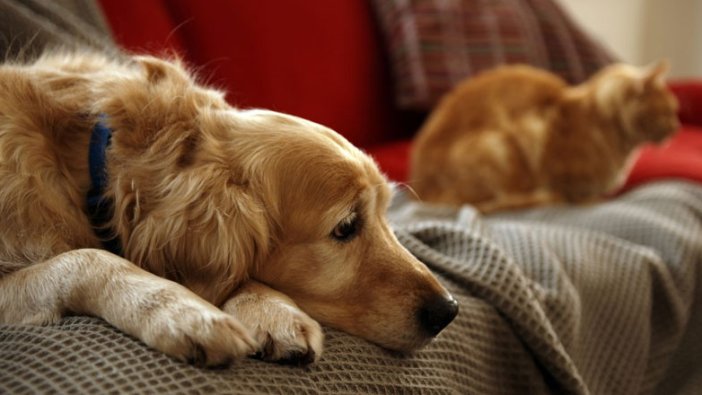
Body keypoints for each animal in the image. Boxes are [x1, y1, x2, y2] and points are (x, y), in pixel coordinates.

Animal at [0, 52, 460, 368]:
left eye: (386, 211)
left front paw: (271, 310)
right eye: (346, 227)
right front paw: (184, 313)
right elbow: (87, 258)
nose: (449, 311)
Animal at [412, 61, 680, 213]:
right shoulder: (539, 136)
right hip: (497, 146)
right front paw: (589, 200)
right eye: (668, 112)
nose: (676, 128)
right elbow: (577, 193)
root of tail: (422, 190)